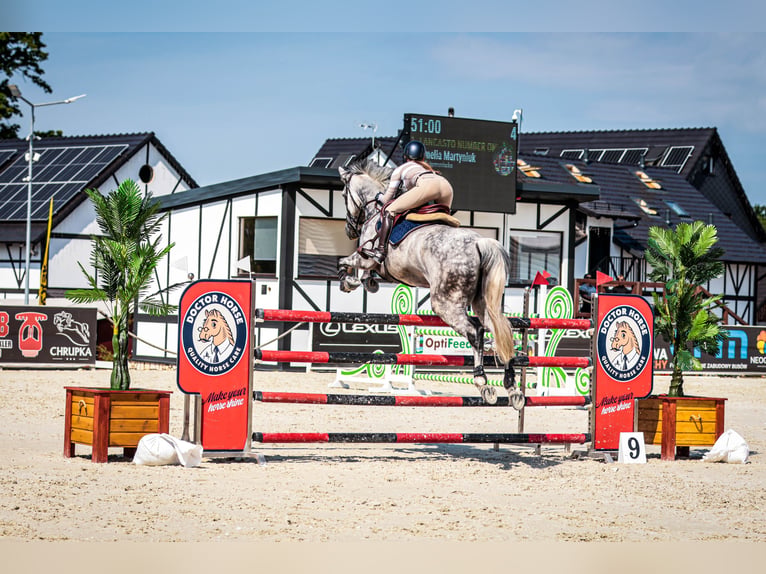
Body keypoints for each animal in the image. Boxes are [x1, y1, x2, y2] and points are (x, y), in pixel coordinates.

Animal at [337, 161, 521, 407]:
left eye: (343, 194)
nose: (349, 230)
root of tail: (479, 243)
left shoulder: (365, 257)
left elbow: (346, 262)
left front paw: (347, 280)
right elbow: (364, 275)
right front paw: (365, 282)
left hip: (445, 303)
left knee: (475, 331)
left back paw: (483, 383)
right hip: (482, 302)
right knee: (499, 328)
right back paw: (512, 388)